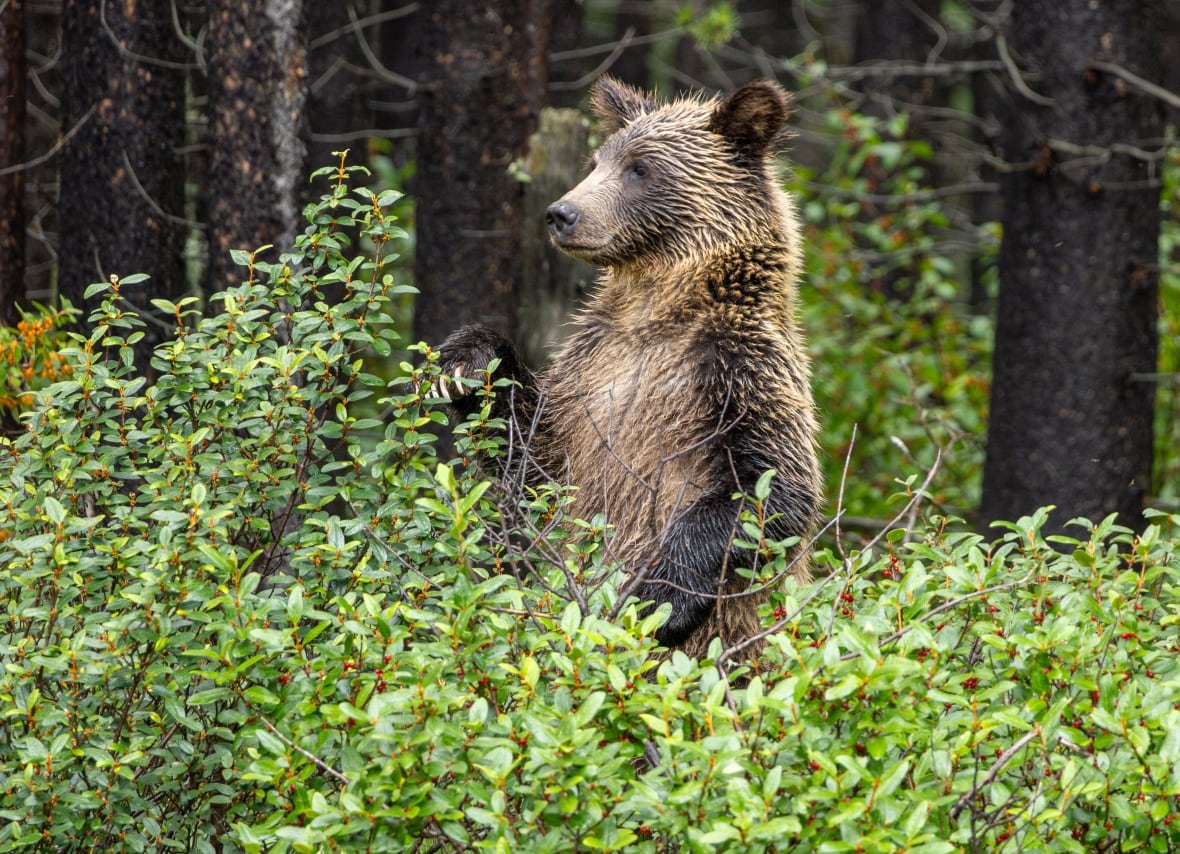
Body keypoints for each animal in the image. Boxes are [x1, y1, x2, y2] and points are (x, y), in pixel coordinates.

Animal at [436, 76, 821, 660]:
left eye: (640, 168)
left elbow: (771, 486)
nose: (561, 213)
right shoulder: (590, 370)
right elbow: (538, 460)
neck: (656, 314)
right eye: (596, 161)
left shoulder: (737, 365)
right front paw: (468, 359)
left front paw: (658, 600)